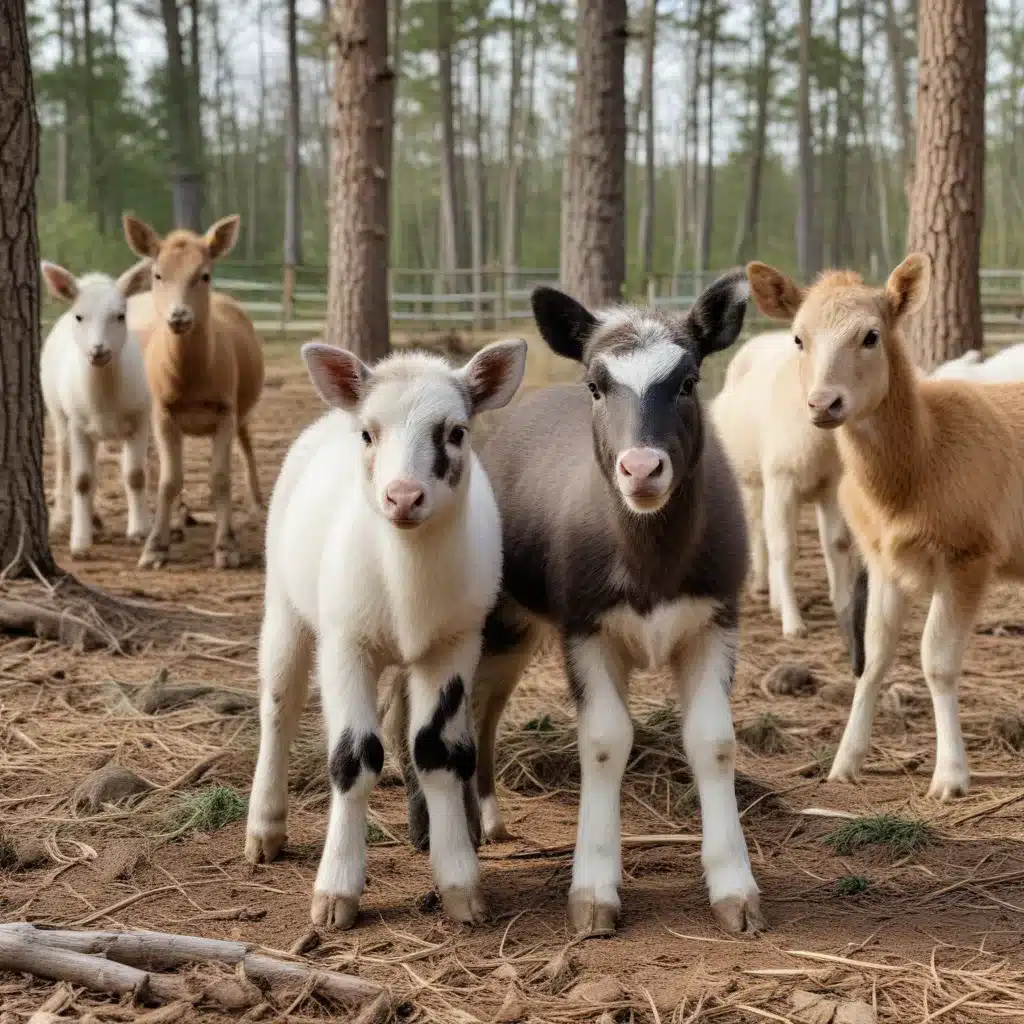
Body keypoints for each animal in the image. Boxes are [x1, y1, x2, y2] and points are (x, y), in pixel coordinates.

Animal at [40, 260, 153, 557]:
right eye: (79, 317)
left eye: (120, 316)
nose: (98, 350)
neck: (105, 400)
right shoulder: (78, 424)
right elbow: (81, 480)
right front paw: (79, 543)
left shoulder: (141, 418)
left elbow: (135, 475)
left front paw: (139, 531)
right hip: (57, 412)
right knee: (64, 461)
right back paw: (62, 518)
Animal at [122, 214, 264, 569]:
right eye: (158, 274)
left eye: (204, 274)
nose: (179, 316)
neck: (192, 381)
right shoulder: (162, 410)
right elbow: (169, 479)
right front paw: (154, 548)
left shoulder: (225, 407)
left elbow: (221, 477)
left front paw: (227, 548)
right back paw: (176, 524)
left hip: (242, 402)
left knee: (247, 442)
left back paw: (257, 506)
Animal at [242, 335, 524, 929]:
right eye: (369, 434)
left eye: (456, 431)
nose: (403, 497)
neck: (405, 577)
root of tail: (333, 413)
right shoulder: (346, 644)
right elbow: (353, 758)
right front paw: (336, 892)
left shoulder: (452, 646)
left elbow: (439, 753)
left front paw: (459, 883)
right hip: (284, 603)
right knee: (279, 706)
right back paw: (265, 827)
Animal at [395, 272, 765, 937]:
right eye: (596, 385)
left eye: (689, 380)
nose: (641, 468)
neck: (650, 562)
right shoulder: (585, 627)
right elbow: (604, 740)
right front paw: (594, 887)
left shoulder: (716, 619)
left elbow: (714, 741)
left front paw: (734, 885)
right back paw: (429, 827)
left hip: (513, 628)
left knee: (484, 706)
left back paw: (484, 817)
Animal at [749, 253, 1024, 798]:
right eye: (798, 338)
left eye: (871, 336)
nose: (823, 404)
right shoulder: (881, 561)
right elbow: (873, 656)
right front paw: (845, 760)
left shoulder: (968, 555)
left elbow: (937, 661)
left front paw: (950, 776)